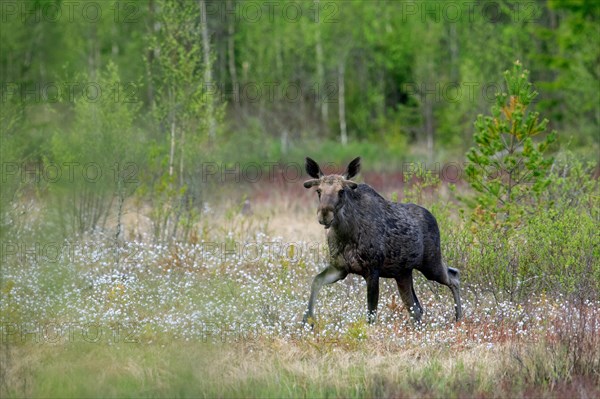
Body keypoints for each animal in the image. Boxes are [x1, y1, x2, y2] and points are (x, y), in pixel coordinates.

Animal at [302, 156, 462, 324]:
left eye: (341, 191)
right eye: (318, 191)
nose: (324, 215)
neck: (344, 234)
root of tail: (434, 218)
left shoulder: (372, 270)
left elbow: (371, 313)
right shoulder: (340, 268)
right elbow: (316, 281)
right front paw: (308, 320)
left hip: (430, 263)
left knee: (454, 276)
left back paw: (459, 318)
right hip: (403, 273)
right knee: (416, 308)